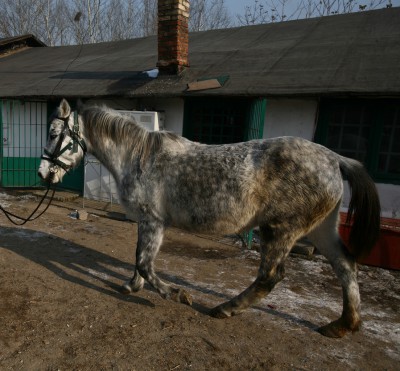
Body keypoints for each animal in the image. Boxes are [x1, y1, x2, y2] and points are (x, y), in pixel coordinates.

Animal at [38, 100, 382, 338]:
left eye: (54, 133)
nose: (43, 173)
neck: (139, 157)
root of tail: (334, 159)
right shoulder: (146, 222)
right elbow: (138, 260)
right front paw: (131, 286)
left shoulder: (154, 221)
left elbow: (145, 263)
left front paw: (177, 294)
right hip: (322, 229)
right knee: (346, 265)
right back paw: (342, 325)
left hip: (279, 230)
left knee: (270, 277)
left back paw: (225, 309)